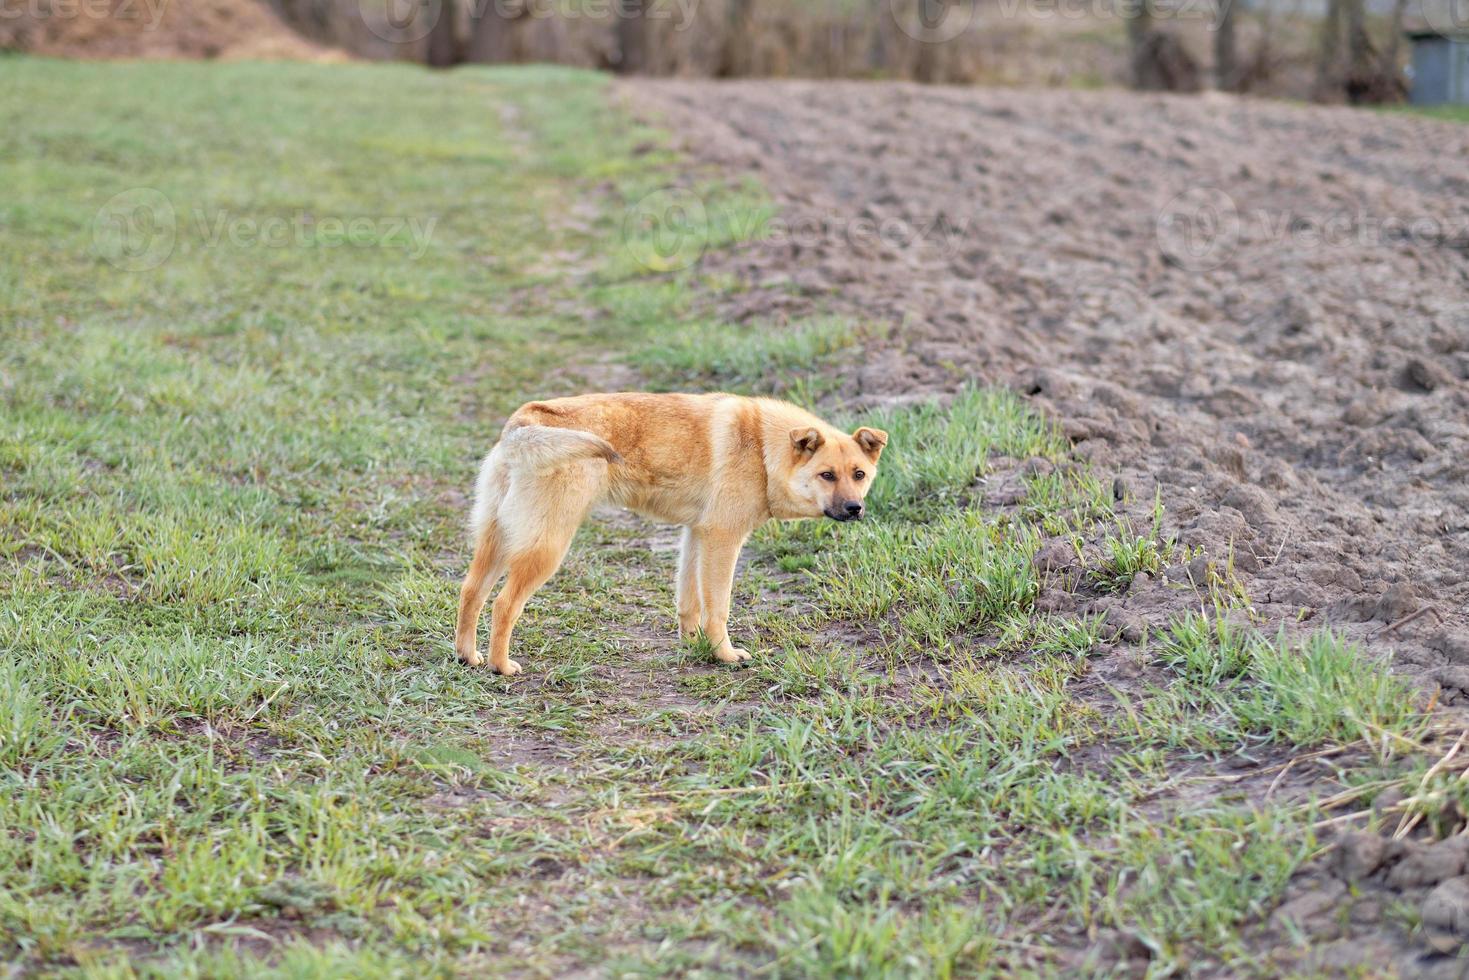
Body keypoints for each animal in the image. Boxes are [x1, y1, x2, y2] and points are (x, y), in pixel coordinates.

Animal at [449, 390, 881, 675]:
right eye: (827, 475)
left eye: (859, 474)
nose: (855, 509)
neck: (761, 447)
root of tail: (525, 420)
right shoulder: (723, 540)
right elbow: (718, 608)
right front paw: (725, 656)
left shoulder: (697, 535)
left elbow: (689, 603)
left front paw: (693, 645)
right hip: (547, 548)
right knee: (504, 604)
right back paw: (501, 666)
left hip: (497, 540)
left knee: (471, 592)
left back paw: (467, 656)